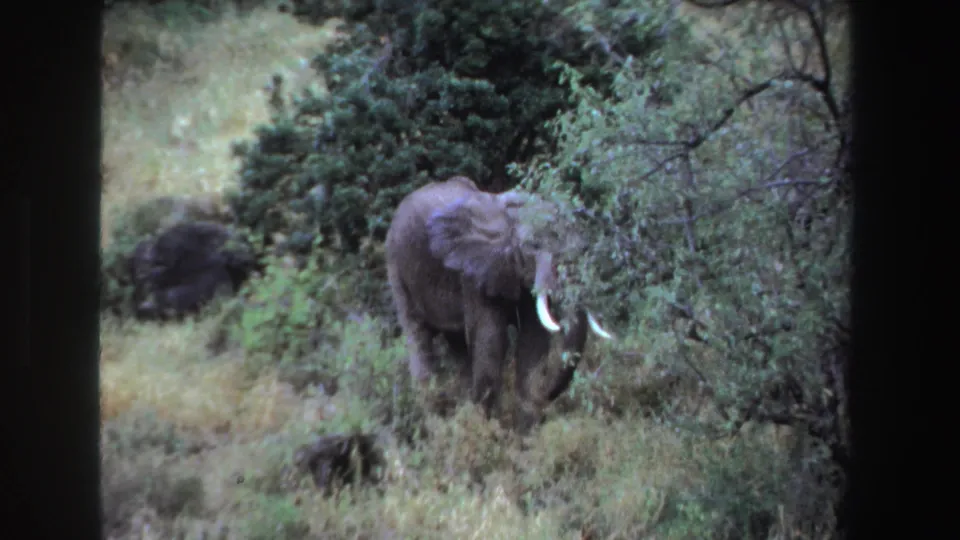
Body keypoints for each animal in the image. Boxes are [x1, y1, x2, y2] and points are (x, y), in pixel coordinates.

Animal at [385, 175, 613, 431]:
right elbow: (491, 340)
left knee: (459, 346)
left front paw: (526, 433)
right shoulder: (473, 274)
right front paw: (487, 429)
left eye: (582, 247)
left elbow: (533, 342)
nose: (548, 396)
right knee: (418, 337)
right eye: (533, 245)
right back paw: (433, 420)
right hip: (397, 267)